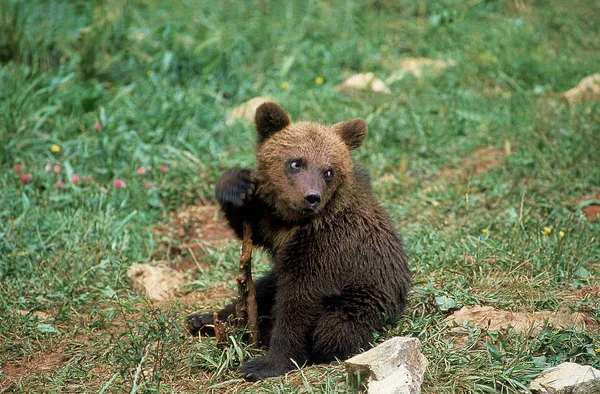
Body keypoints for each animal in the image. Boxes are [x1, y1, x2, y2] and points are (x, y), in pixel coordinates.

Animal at [188, 103, 410, 380]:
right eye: (296, 162)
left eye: (329, 171)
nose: (311, 197)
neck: (298, 223)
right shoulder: (274, 224)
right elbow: (248, 227)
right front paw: (236, 184)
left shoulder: (327, 248)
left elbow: (299, 303)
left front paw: (267, 363)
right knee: (264, 286)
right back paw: (204, 319)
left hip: (366, 298)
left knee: (334, 328)